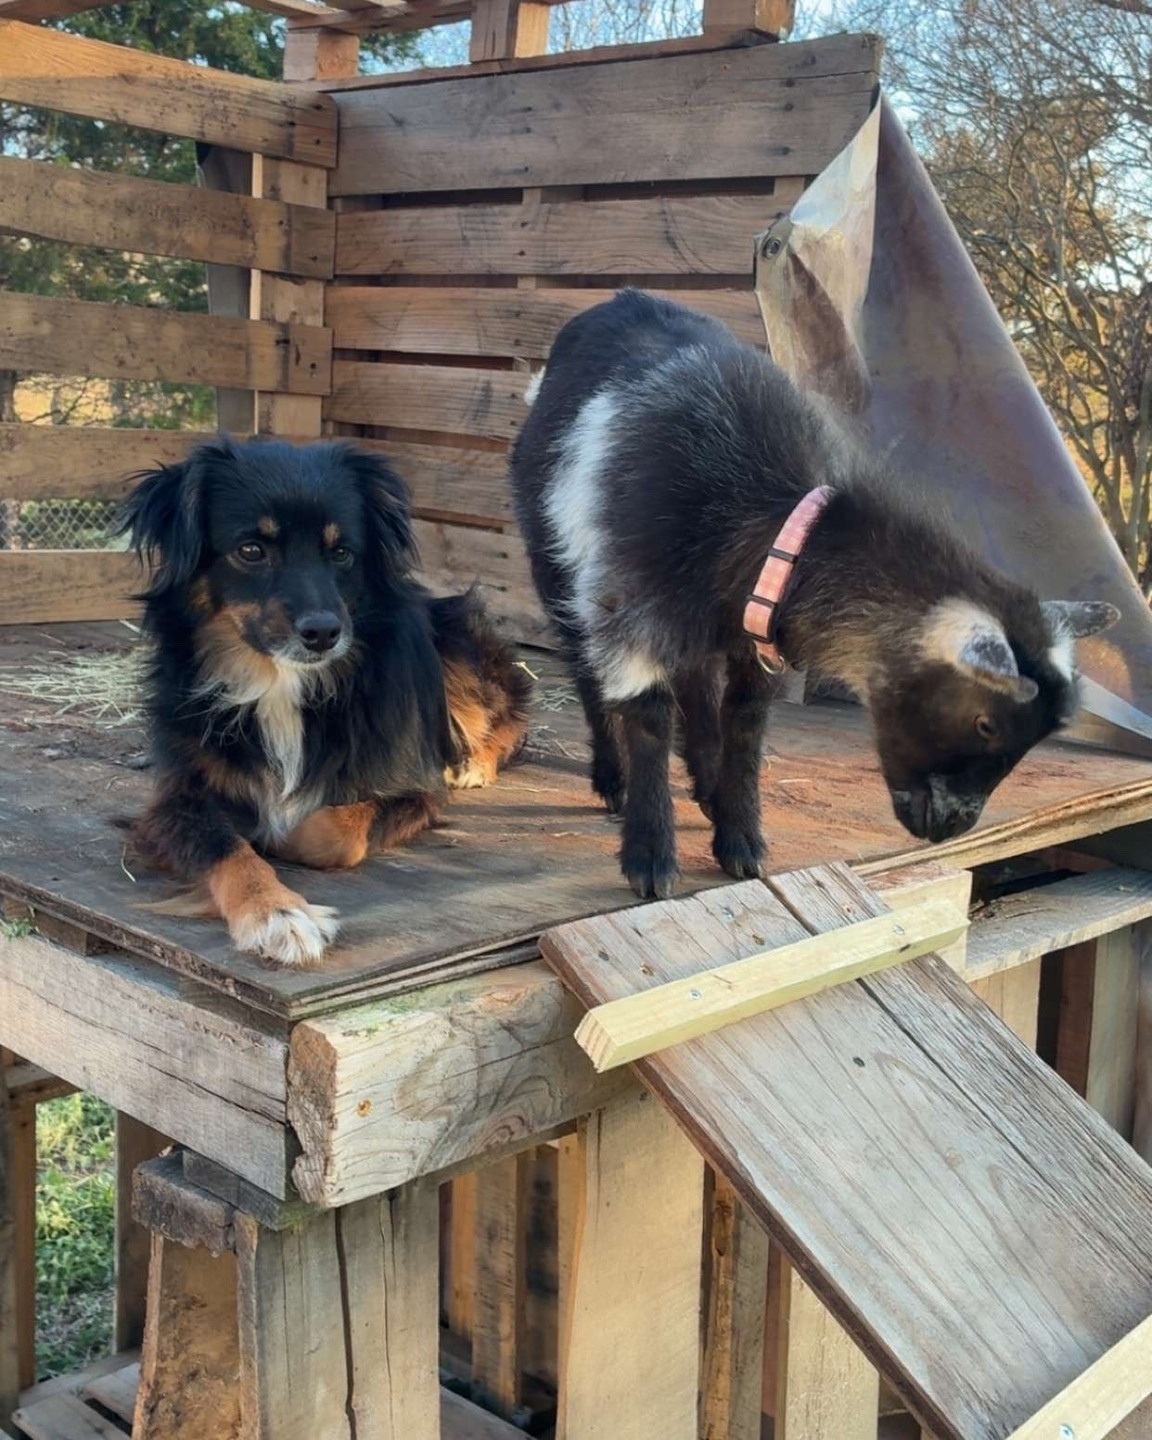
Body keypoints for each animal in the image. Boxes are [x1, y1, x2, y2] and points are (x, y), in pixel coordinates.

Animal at [510, 290, 1118, 899]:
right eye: (986, 722)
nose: (952, 827)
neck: (767, 521)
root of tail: (620, 299)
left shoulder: (754, 637)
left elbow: (746, 723)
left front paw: (740, 839)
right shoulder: (631, 603)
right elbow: (649, 718)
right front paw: (651, 858)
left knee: (697, 680)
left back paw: (705, 782)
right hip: (559, 567)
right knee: (587, 670)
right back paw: (612, 779)